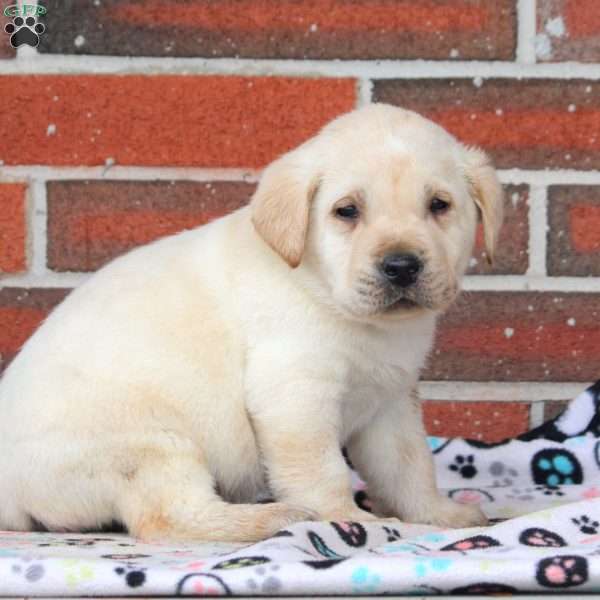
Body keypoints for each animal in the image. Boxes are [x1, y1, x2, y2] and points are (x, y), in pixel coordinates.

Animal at [0, 104, 502, 544]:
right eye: (347, 211)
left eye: (439, 205)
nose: (401, 266)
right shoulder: (296, 393)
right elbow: (322, 469)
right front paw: (348, 519)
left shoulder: (392, 402)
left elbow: (410, 466)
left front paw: (438, 515)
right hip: (150, 445)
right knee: (170, 518)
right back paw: (274, 516)